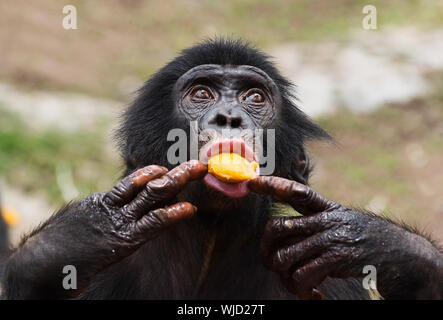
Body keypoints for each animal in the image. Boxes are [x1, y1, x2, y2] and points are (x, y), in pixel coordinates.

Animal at [1, 39, 442, 300]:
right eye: (201, 93)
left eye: (254, 97)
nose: (229, 116)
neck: (211, 233)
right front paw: (81, 235)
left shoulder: (333, 282)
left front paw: (367, 239)